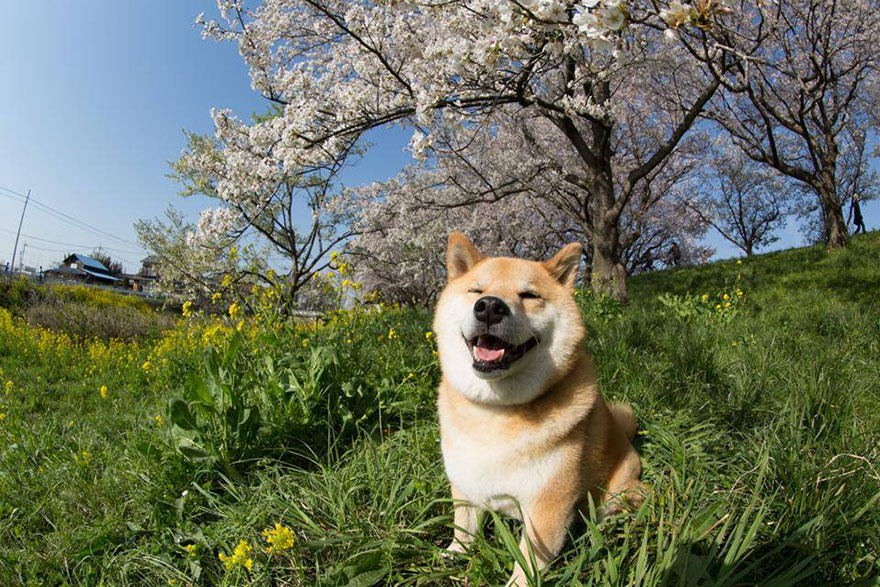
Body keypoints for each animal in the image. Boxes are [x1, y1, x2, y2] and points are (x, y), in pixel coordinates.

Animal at [434, 232, 648, 584]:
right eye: (476, 291)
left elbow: (527, 566)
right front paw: (452, 556)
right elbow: (463, 529)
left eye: (529, 295)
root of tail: (625, 439)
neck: (496, 411)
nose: (490, 306)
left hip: (618, 491)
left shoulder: (548, 506)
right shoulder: (465, 482)